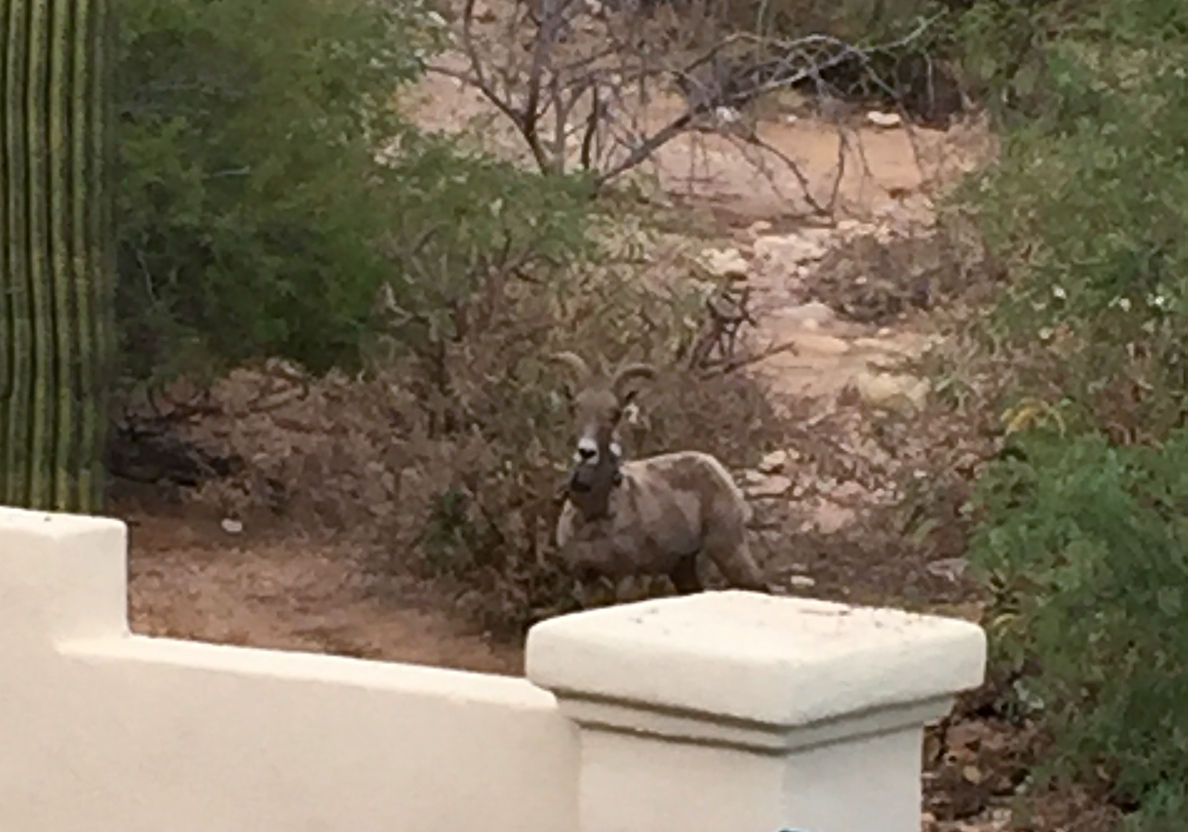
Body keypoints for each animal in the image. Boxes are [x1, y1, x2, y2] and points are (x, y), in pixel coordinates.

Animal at [548, 354, 769, 594]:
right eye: (574, 407)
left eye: (615, 414)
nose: (586, 452)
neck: (593, 515)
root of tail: (717, 468)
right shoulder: (583, 579)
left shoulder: (626, 577)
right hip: (682, 567)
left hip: (728, 547)